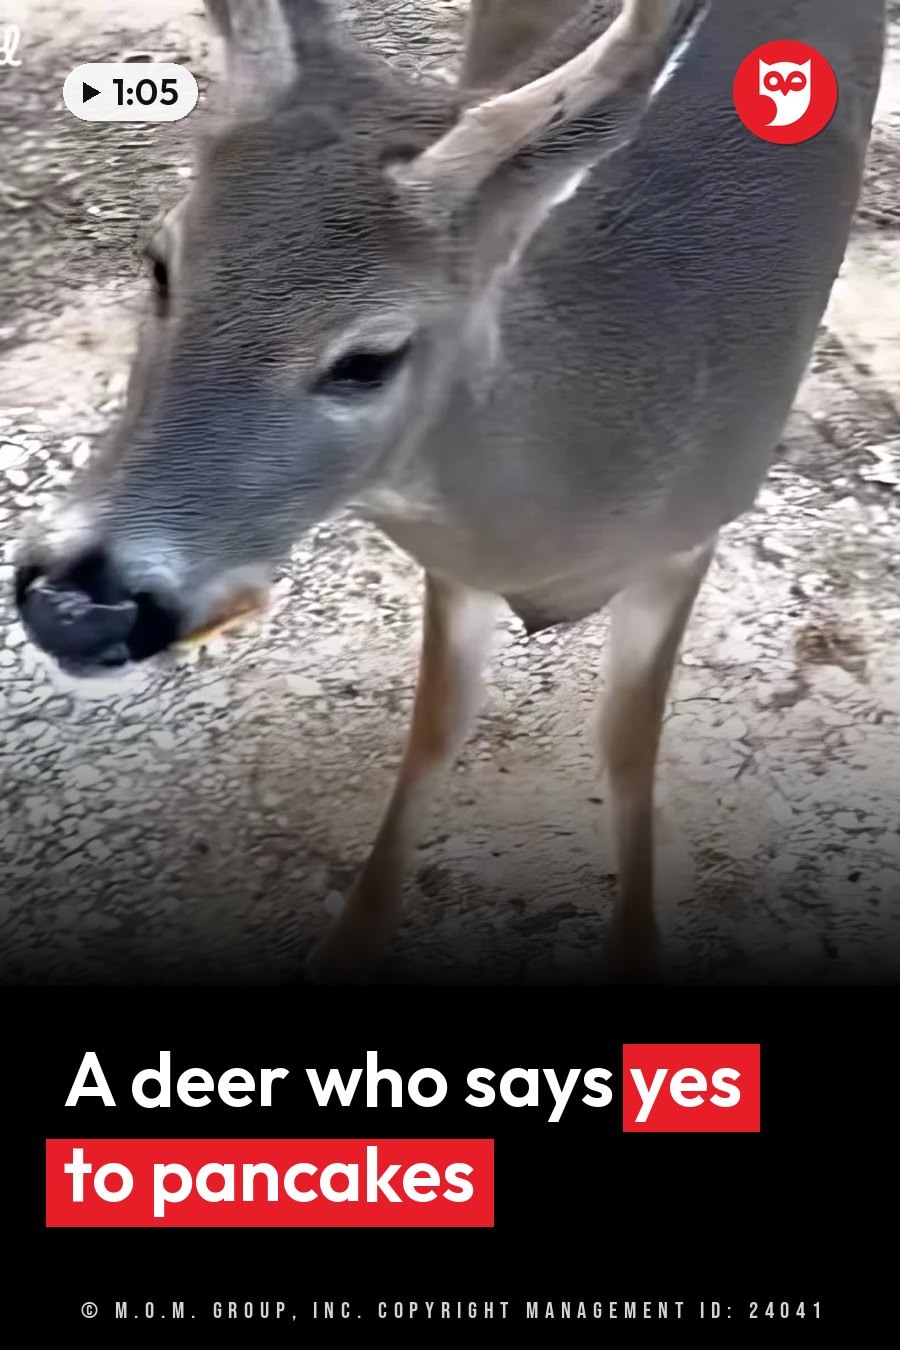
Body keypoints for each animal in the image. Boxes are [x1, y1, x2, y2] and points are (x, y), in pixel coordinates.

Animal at [13, 0, 886, 982]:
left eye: (369, 357)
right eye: (160, 262)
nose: (76, 605)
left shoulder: (694, 530)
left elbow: (626, 742)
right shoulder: (456, 566)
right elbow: (437, 726)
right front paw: (350, 942)